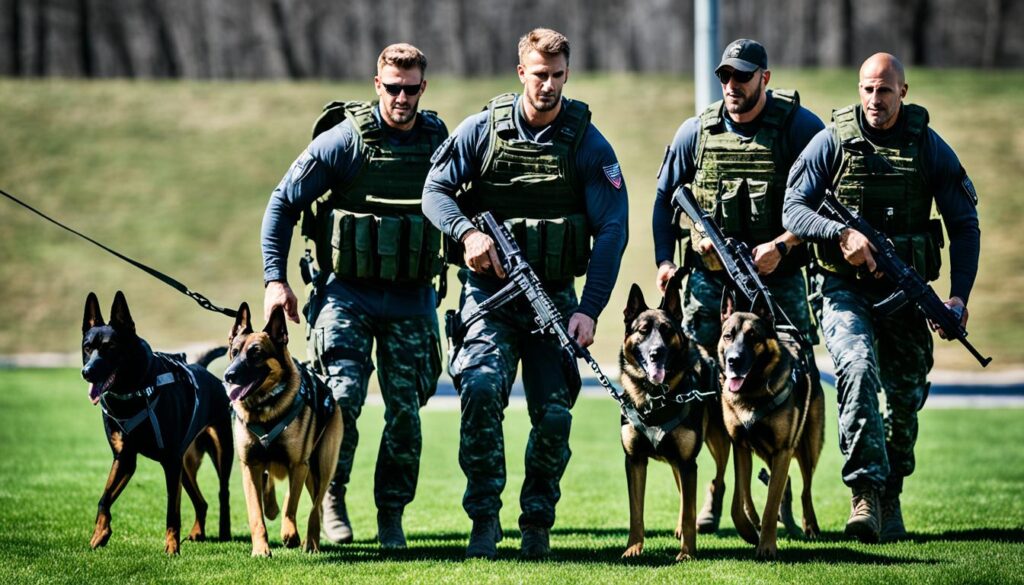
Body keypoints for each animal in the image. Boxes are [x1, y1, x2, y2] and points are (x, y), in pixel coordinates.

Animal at [80, 293, 233, 553]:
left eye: (110, 347)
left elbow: (172, 511)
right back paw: (197, 533)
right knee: (201, 502)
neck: (133, 392)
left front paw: (171, 548)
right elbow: (104, 500)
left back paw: (224, 534)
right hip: (185, 463)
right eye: (87, 347)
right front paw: (99, 535)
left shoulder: (170, 461)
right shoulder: (125, 458)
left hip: (220, 451)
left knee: (224, 493)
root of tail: (202, 368)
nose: (86, 372)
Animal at [223, 305, 342, 557]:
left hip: (322, 467)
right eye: (234, 352)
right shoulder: (250, 466)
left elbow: (292, 505)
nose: (228, 375)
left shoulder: (298, 464)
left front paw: (290, 534)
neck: (264, 410)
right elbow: (256, 514)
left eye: (256, 354)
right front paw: (260, 549)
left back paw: (310, 542)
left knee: (315, 506)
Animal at [618, 276, 716, 561]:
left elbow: (690, 511)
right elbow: (636, 512)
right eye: (642, 330)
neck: (655, 399)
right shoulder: (635, 461)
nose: (656, 353)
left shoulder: (687, 462)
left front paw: (687, 553)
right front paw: (633, 548)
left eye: (666, 330)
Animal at [720, 290, 823, 561]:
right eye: (728, 335)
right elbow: (740, 499)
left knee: (806, 489)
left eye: (753, 337)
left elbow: (770, 503)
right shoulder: (740, 447)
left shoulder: (783, 450)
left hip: (808, 448)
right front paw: (748, 529)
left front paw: (766, 545)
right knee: (786, 485)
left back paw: (809, 526)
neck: (752, 392)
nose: (733, 361)